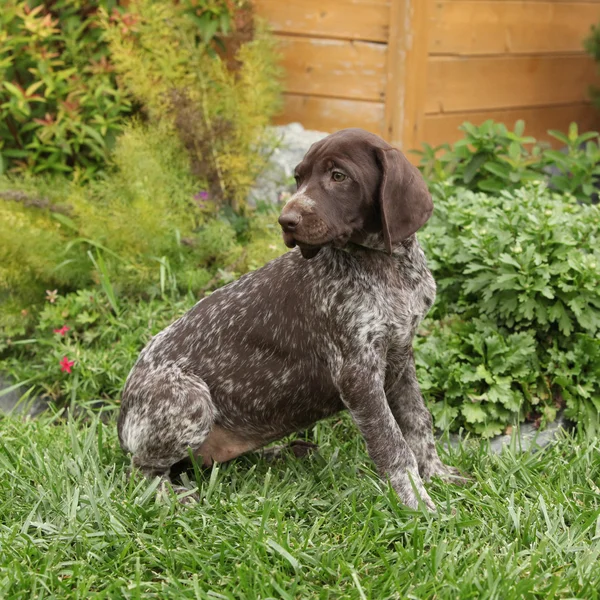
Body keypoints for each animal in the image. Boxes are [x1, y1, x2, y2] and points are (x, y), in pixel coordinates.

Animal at [117, 126, 464, 510]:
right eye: (298, 178)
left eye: (338, 176)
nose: (286, 221)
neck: (385, 266)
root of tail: (122, 414)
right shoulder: (357, 373)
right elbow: (392, 443)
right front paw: (415, 501)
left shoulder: (400, 355)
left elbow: (419, 421)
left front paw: (437, 474)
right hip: (190, 399)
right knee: (142, 471)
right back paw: (174, 497)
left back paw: (283, 453)